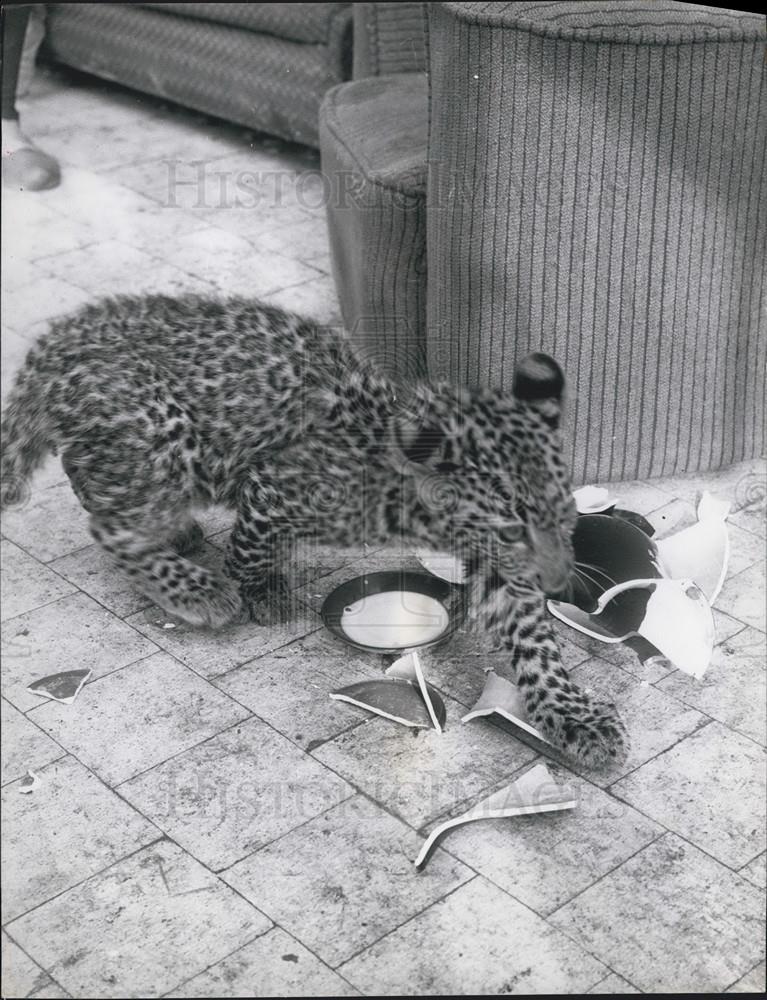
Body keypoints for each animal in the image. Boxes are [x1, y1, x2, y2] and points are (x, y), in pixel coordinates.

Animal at [1, 293, 628, 768]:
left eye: (565, 516)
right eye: (513, 527)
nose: (557, 581)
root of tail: (59, 337)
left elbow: (533, 640)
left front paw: (574, 716)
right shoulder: (274, 487)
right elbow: (250, 546)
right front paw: (262, 591)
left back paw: (174, 531)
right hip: (155, 429)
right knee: (108, 524)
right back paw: (194, 587)